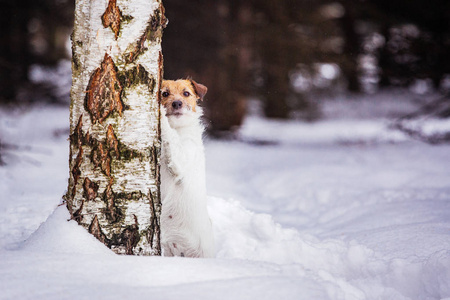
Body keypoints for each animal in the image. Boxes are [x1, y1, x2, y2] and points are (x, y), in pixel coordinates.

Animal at [159, 78, 215, 256]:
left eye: (186, 93)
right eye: (165, 93)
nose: (177, 103)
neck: (178, 128)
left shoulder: (181, 158)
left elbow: (170, 138)